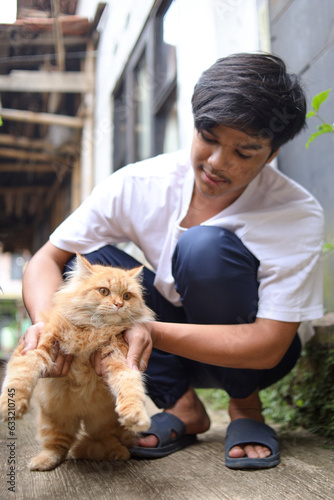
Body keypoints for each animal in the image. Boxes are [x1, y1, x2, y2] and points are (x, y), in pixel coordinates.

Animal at [0, 256, 154, 470]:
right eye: (104, 291)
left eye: (127, 295)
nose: (119, 304)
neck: (93, 330)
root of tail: (82, 414)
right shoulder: (40, 346)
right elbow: (20, 378)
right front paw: (11, 406)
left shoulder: (118, 359)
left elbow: (130, 388)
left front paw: (136, 415)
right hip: (55, 420)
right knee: (58, 447)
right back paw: (44, 461)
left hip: (103, 424)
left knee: (100, 442)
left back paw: (115, 453)